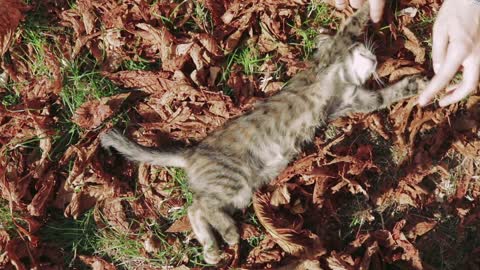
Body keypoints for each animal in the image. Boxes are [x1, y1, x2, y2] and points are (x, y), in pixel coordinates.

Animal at [100, 2, 428, 264]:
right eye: (360, 48)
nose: (374, 56)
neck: (343, 77)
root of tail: (192, 152)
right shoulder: (333, 61)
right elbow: (350, 25)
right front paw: (370, 11)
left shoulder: (356, 101)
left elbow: (389, 94)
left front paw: (415, 84)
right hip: (232, 181)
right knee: (199, 206)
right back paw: (228, 235)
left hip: (238, 191)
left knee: (197, 210)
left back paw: (213, 248)